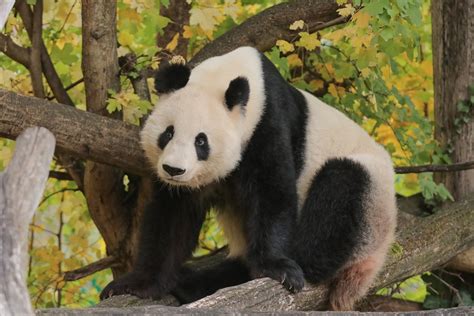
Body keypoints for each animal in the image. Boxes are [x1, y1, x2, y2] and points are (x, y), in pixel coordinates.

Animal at [102, 47, 398, 312]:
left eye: (201, 141)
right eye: (168, 133)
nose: (173, 170)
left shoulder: (268, 124)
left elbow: (272, 193)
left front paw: (277, 267)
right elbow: (173, 217)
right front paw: (136, 284)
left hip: (372, 202)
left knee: (339, 196)